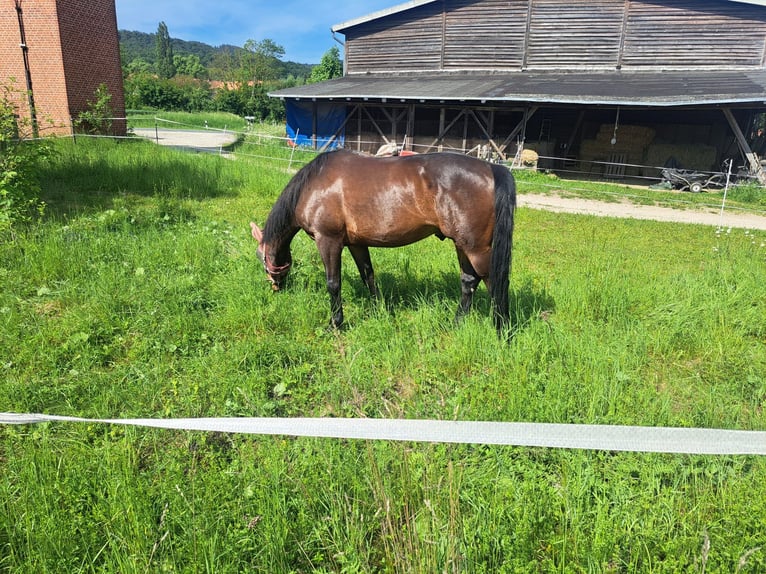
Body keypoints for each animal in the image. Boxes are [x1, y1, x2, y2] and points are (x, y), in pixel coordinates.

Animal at [250, 149, 515, 333]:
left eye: (260, 257)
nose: (275, 288)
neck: (314, 184)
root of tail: (492, 168)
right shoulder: (356, 243)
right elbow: (368, 276)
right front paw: (379, 311)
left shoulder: (328, 241)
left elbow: (333, 284)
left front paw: (335, 323)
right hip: (462, 244)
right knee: (469, 282)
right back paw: (456, 323)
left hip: (476, 248)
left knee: (494, 283)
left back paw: (503, 331)